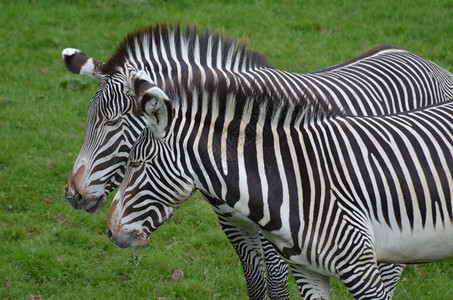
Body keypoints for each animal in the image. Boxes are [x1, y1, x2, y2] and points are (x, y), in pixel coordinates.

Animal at [62, 24, 452, 300]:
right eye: (88, 121)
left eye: (113, 123)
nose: (72, 195)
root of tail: (427, 62)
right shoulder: (233, 225)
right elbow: (254, 284)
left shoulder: (275, 233)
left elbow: (277, 288)